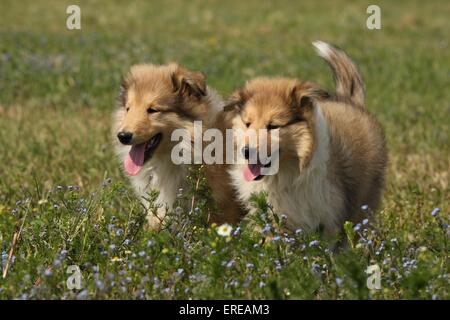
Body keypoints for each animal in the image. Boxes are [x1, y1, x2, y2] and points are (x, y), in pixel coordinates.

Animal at [213, 42, 388, 235]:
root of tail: (349, 101)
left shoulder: (329, 219)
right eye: (247, 123)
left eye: (273, 126)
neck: (288, 172)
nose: (246, 152)